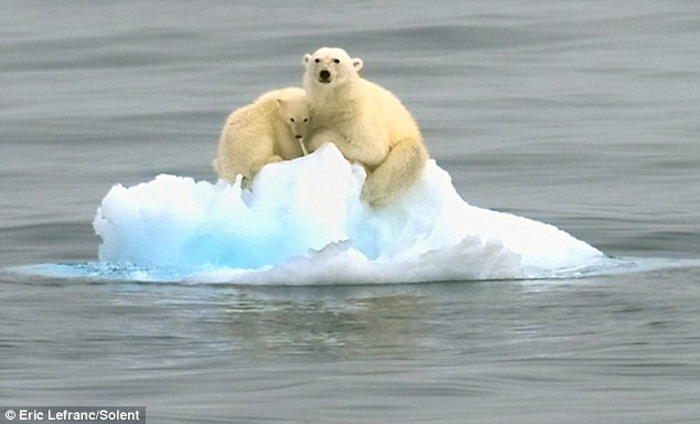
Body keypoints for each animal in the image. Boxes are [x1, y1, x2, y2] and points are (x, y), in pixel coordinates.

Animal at [304, 47, 430, 208]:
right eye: (317, 60)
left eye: (336, 60)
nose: (324, 73)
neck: (336, 103)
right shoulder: (316, 113)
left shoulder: (358, 114)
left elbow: (371, 147)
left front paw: (316, 138)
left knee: (410, 156)